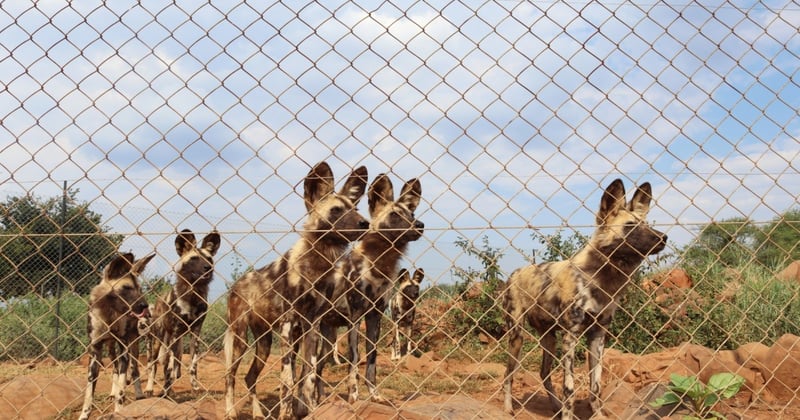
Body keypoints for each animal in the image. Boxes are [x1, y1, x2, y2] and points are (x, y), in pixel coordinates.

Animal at [79, 253, 156, 420]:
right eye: (127, 288)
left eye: (139, 289)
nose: (145, 307)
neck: (110, 314)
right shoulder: (95, 350)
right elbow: (89, 393)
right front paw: (84, 415)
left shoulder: (124, 350)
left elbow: (122, 389)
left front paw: (119, 411)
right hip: (111, 348)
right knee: (117, 368)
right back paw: (114, 392)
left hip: (140, 344)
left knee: (139, 368)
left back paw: (142, 392)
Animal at [145, 230, 220, 398]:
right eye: (194, 258)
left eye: (209, 258)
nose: (207, 267)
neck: (192, 295)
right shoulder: (174, 332)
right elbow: (167, 368)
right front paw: (166, 391)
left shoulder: (195, 333)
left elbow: (193, 365)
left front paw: (195, 388)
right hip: (159, 340)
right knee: (155, 364)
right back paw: (150, 388)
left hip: (177, 344)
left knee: (173, 364)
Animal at [223, 162, 370, 420]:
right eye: (336, 211)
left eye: (356, 208)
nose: (365, 223)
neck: (316, 265)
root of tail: (237, 283)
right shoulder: (289, 324)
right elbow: (288, 381)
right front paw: (286, 413)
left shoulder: (311, 326)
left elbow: (308, 376)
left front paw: (308, 410)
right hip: (240, 337)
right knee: (230, 375)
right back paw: (230, 411)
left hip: (264, 343)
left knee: (250, 377)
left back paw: (258, 413)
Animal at [316, 173, 424, 404]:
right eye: (394, 215)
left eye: (412, 213)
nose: (420, 224)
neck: (379, 264)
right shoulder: (355, 318)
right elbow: (354, 361)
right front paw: (353, 396)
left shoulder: (375, 316)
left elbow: (372, 361)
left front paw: (375, 395)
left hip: (328, 336)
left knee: (318, 368)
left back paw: (320, 399)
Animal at [504, 179, 664, 418]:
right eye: (630, 226)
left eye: (645, 224)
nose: (663, 238)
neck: (604, 279)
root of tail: (515, 273)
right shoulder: (571, 336)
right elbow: (569, 389)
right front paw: (568, 416)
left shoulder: (598, 336)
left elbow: (595, 387)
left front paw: (597, 415)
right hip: (517, 337)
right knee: (508, 374)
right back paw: (508, 408)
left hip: (549, 339)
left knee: (544, 373)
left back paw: (555, 406)